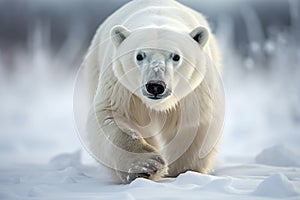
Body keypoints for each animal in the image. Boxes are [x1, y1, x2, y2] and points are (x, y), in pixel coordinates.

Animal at [78, 0, 224, 184]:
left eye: (176, 56)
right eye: (139, 56)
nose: (155, 86)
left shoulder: (194, 92)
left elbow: (193, 124)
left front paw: (183, 171)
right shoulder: (121, 85)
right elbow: (111, 115)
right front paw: (148, 164)